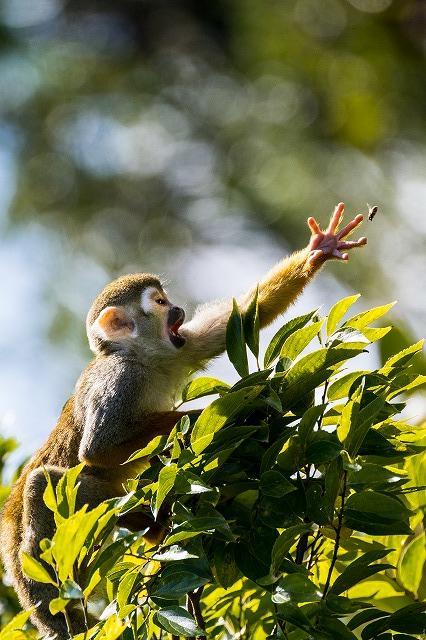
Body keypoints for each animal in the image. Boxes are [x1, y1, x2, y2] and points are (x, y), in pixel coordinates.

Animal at [0, 205, 366, 640]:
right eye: (159, 301)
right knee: (45, 485)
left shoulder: (177, 349)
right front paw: (209, 414)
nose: (176, 309)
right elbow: (98, 449)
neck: (144, 359)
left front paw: (319, 249)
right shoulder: (119, 377)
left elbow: (237, 319)